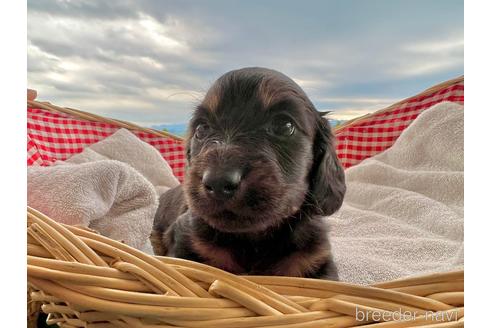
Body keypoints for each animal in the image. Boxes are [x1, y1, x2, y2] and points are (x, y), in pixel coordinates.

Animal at [151, 67, 346, 280]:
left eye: (285, 126)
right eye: (202, 128)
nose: (218, 182)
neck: (252, 240)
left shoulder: (316, 258)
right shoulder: (186, 240)